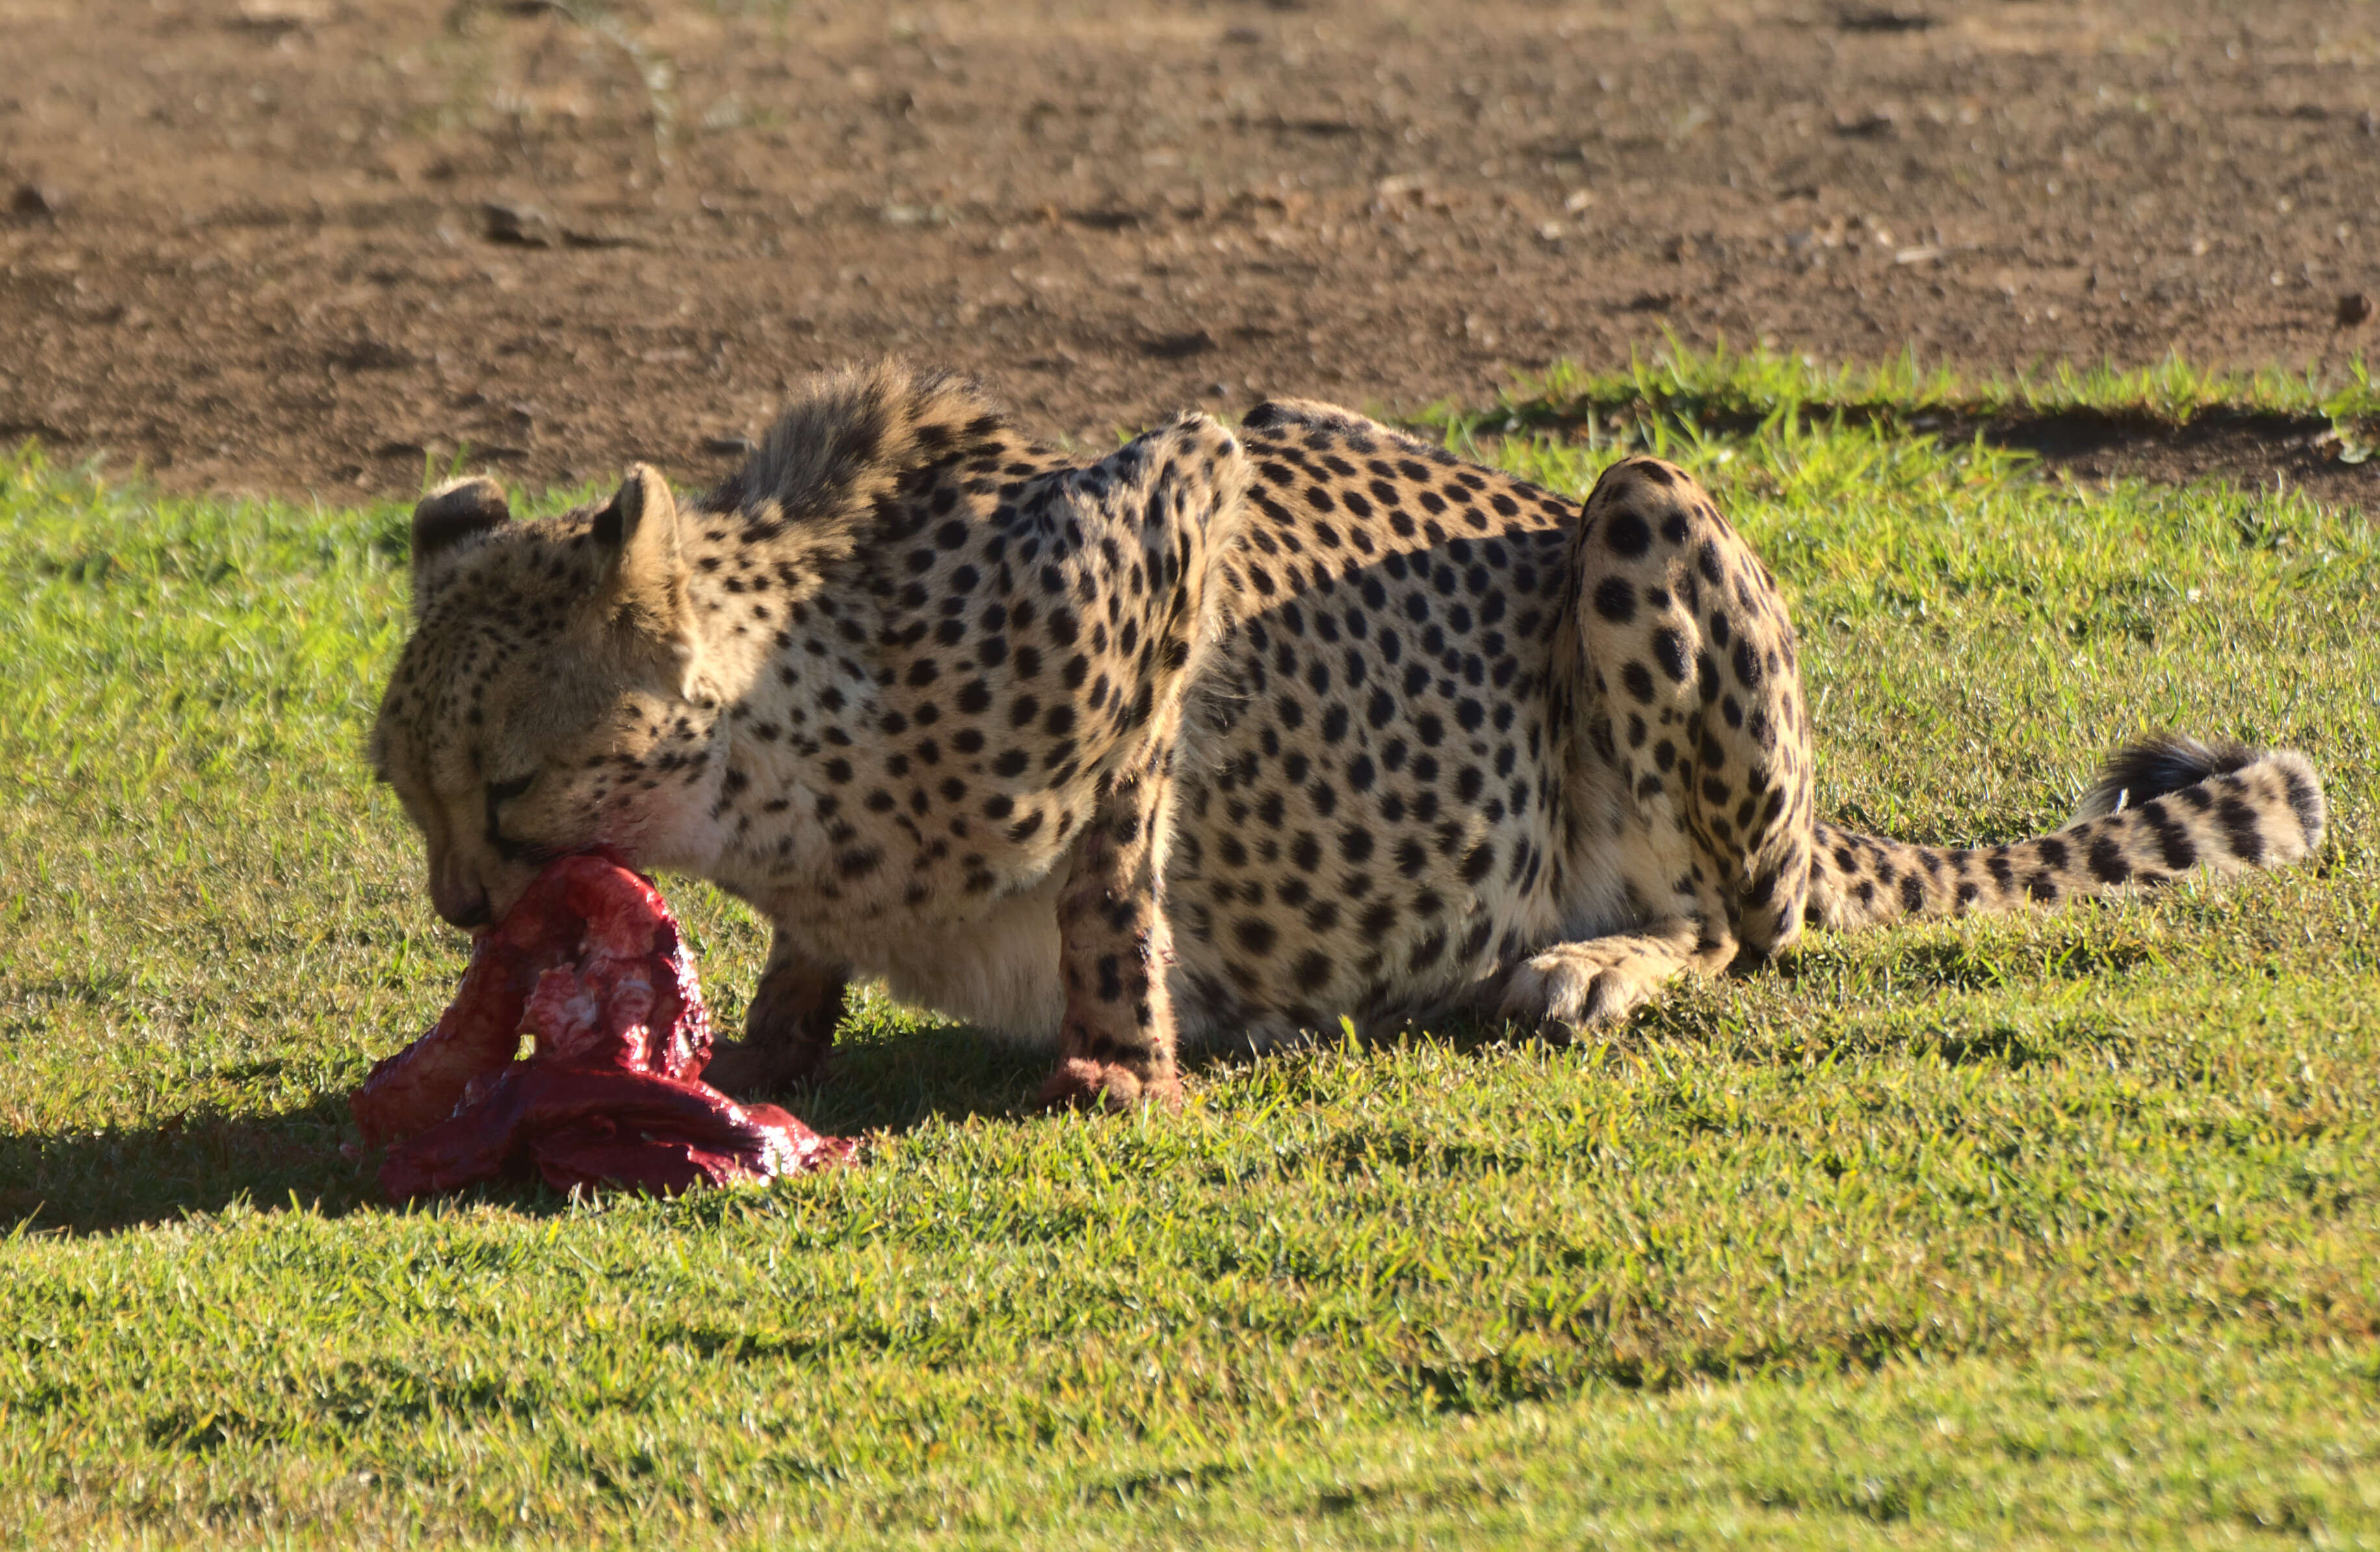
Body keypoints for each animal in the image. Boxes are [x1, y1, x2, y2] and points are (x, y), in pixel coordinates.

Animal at [371, 364, 2323, 1109]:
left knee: (1739, 927)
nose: (465, 909)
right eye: (408, 793)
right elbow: (810, 961)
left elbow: (1115, 862)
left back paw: (1592, 962)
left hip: (1639, 508)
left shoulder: (1168, 521)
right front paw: (768, 1043)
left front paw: (1123, 1069)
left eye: (509, 783)